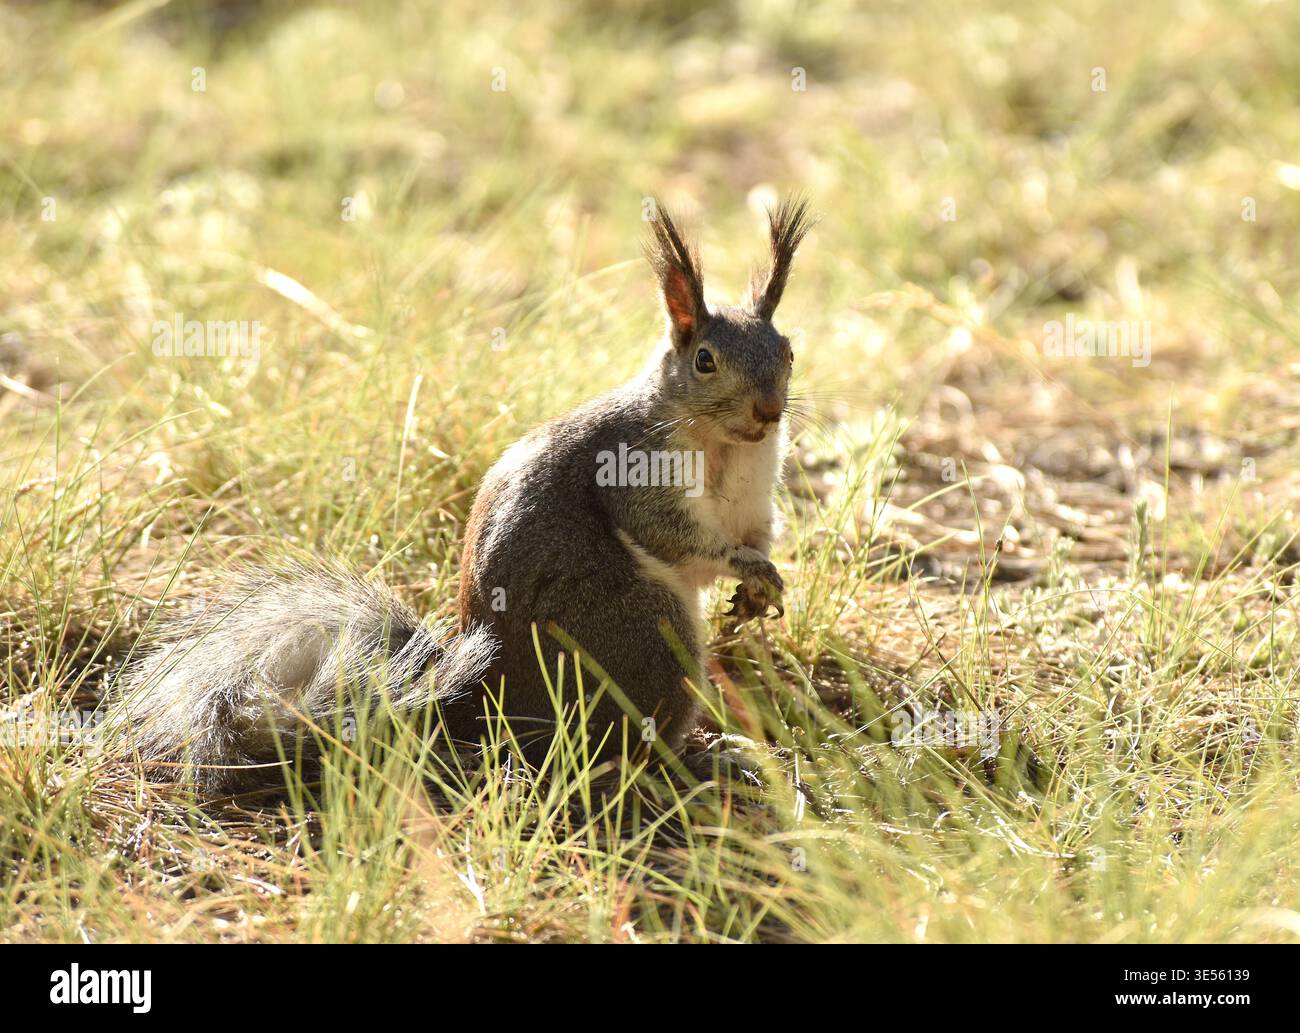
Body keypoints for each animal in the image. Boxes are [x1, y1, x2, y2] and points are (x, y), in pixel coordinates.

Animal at [108, 198, 813, 793]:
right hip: (642, 632)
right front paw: (747, 567)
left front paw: (760, 583)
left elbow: (758, 530)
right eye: (704, 361)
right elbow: (671, 533)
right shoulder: (634, 467)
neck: (726, 445)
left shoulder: (754, 493)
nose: (769, 410)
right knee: (626, 746)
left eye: (787, 351)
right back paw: (698, 762)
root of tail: (488, 702)